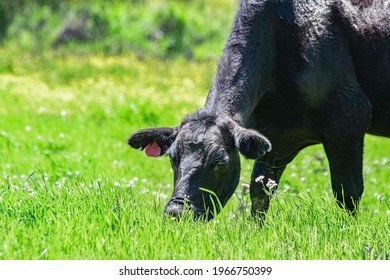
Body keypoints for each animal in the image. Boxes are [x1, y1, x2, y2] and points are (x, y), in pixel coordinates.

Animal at [129, 0, 390, 221]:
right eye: (173, 158)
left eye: (219, 163)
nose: (177, 212)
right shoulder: (275, 138)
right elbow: (260, 191)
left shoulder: (348, 118)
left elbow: (348, 193)